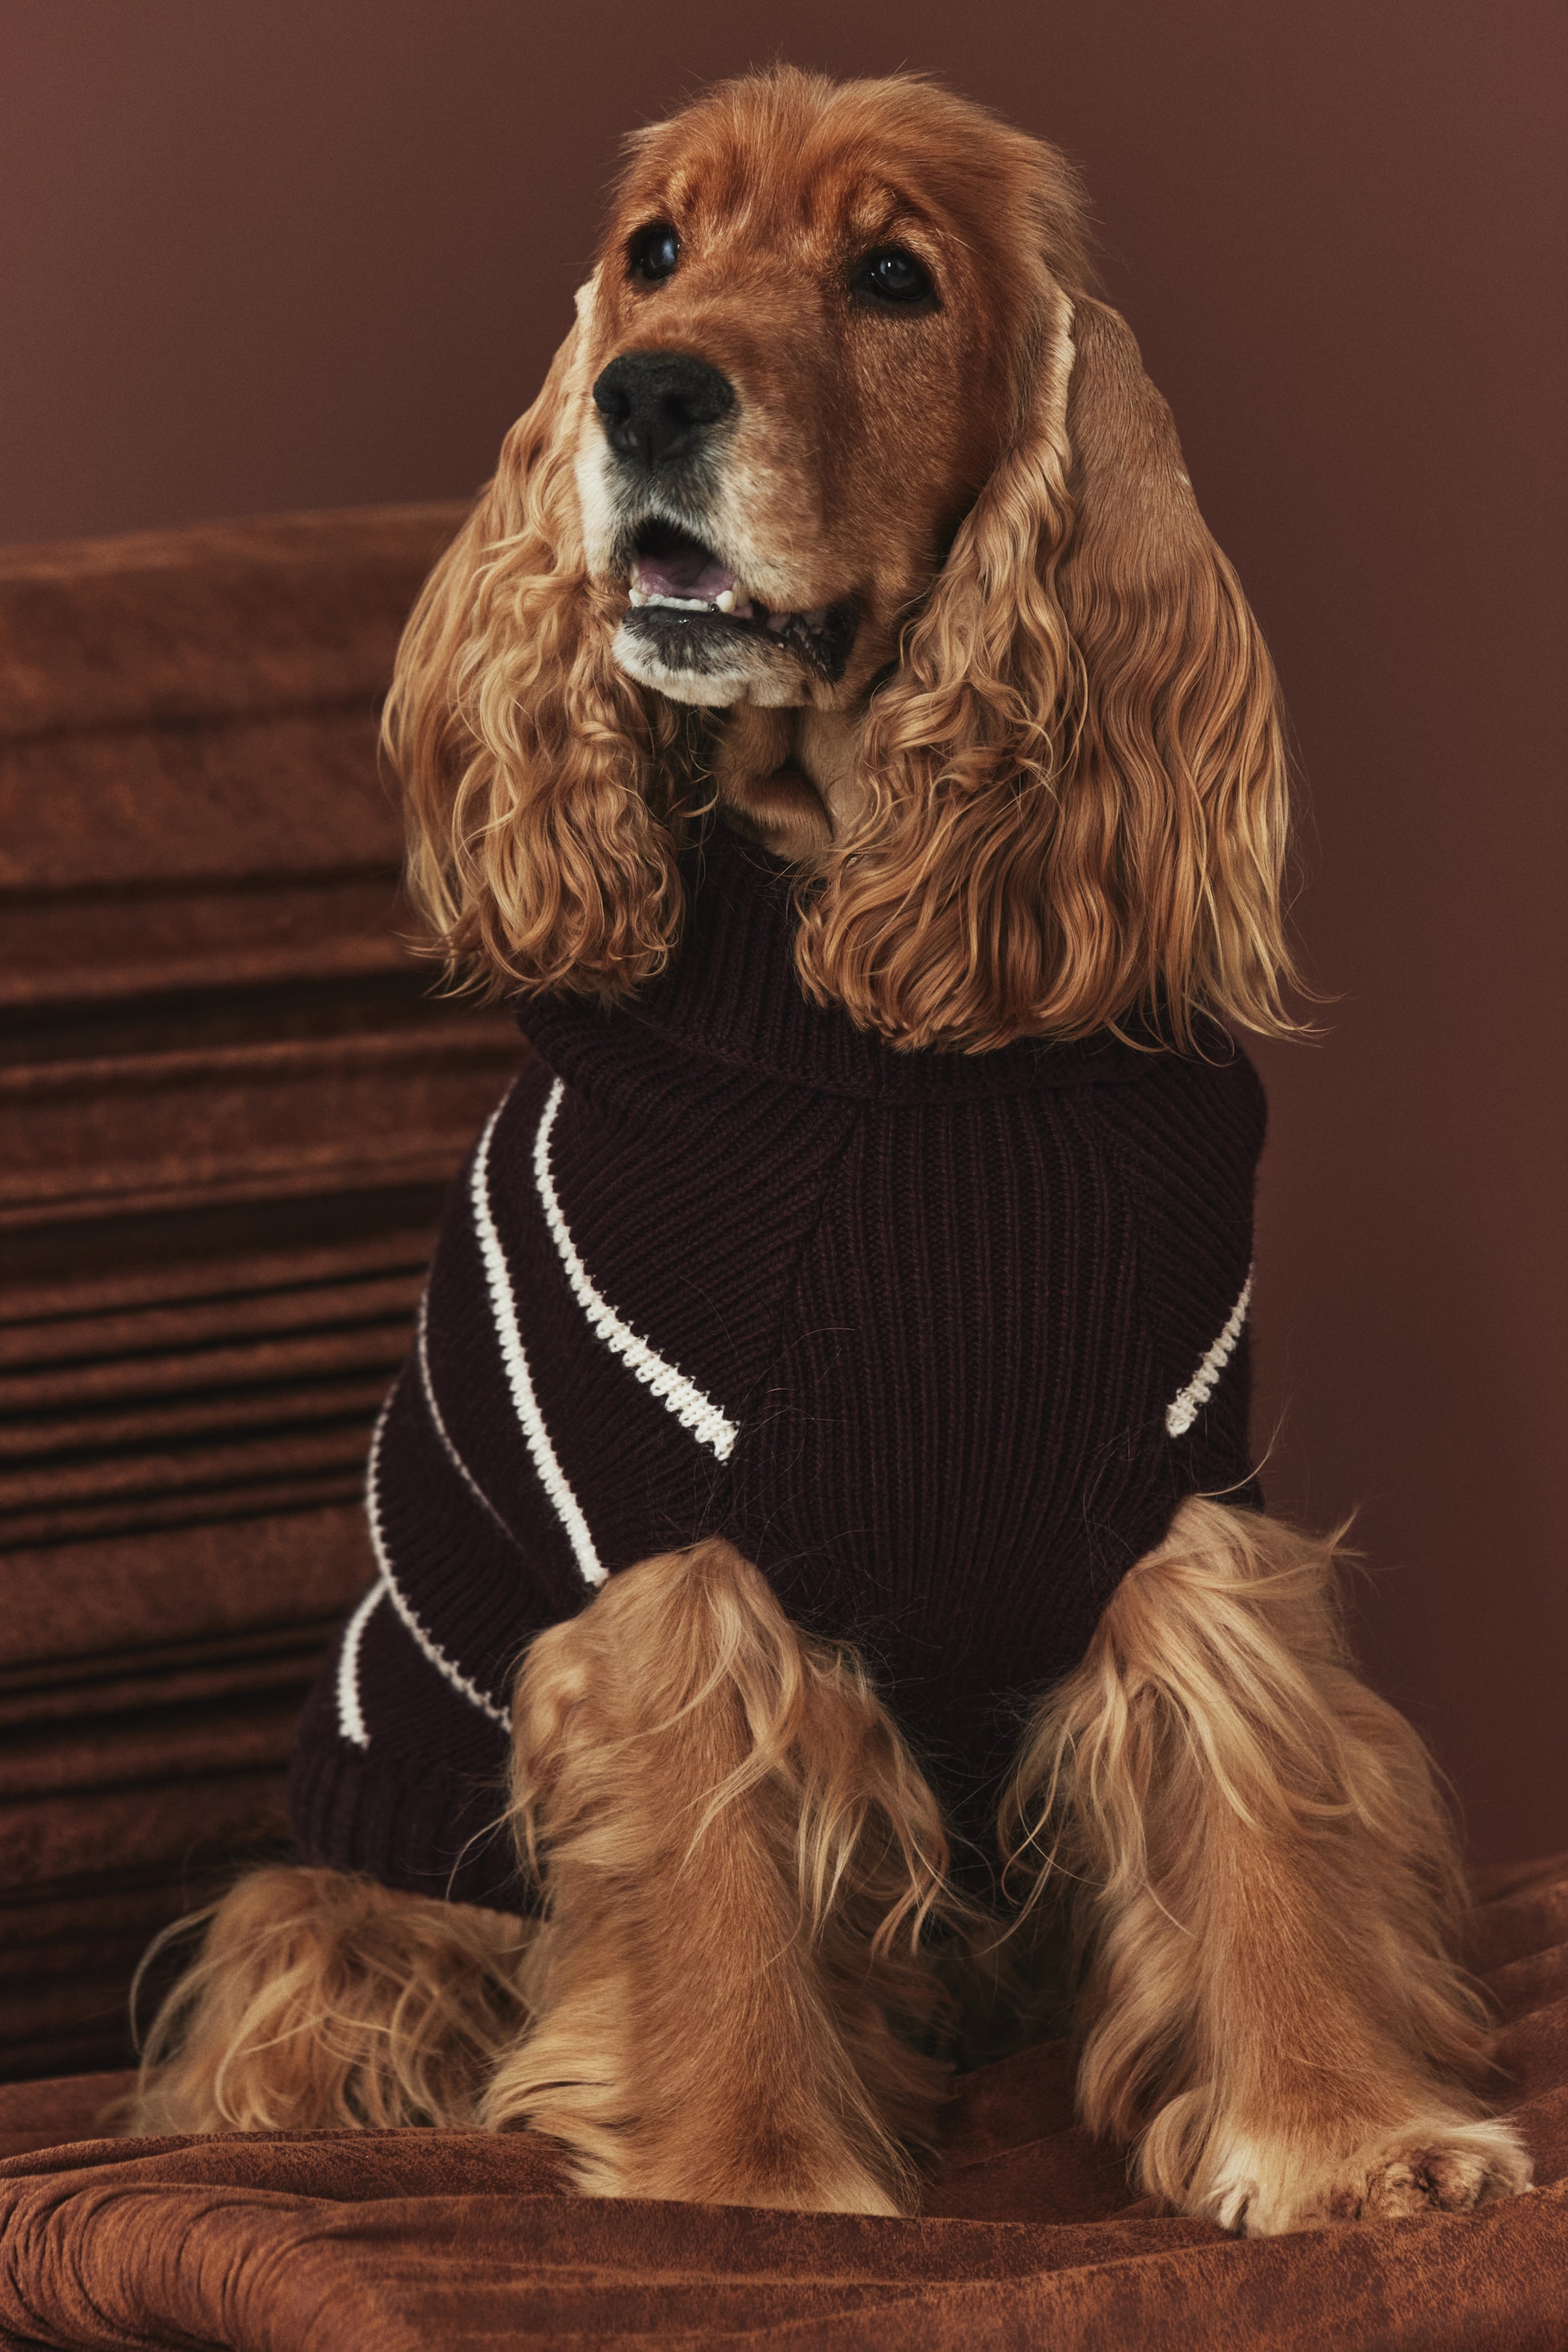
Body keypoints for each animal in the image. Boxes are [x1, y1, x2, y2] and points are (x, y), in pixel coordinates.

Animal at [130, 67, 1531, 2236]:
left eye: (892, 277)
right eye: (654, 253)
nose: (645, 395)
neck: (885, 1042)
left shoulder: (1169, 1476)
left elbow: (1253, 1796)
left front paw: (1348, 2137)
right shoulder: (662, 1515)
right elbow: (708, 1866)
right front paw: (750, 2178)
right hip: (365, 1862)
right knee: (301, 1989)